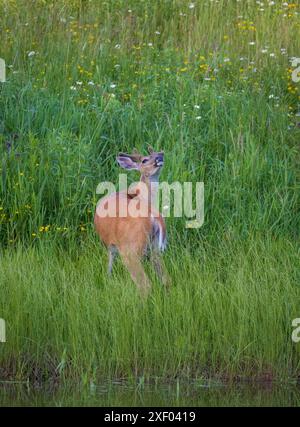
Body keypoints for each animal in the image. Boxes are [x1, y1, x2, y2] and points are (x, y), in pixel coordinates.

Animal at [94, 147, 169, 298]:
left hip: (131, 249)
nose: (160, 156)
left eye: (159, 153)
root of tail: (154, 216)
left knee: (145, 285)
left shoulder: (111, 244)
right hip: (154, 249)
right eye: (144, 160)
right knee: (165, 279)